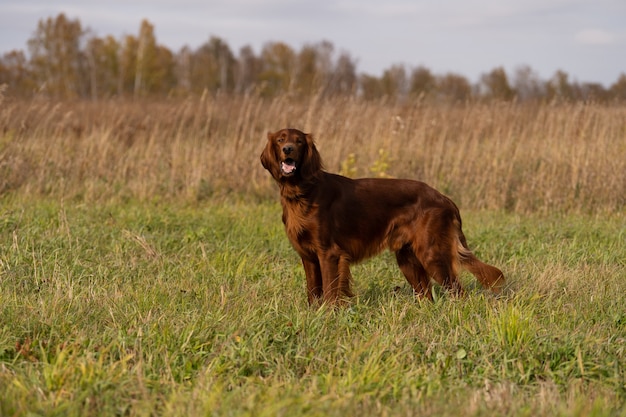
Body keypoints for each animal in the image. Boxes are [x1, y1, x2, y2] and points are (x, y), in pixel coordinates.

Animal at [258, 128, 502, 304]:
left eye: (299, 141)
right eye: (280, 140)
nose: (288, 149)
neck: (303, 191)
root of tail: (445, 198)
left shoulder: (329, 253)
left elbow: (329, 290)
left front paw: (328, 316)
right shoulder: (308, 256)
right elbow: (313, 291)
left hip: (431, 253)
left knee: (457, 290)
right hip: (407, 258)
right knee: (426, 294)